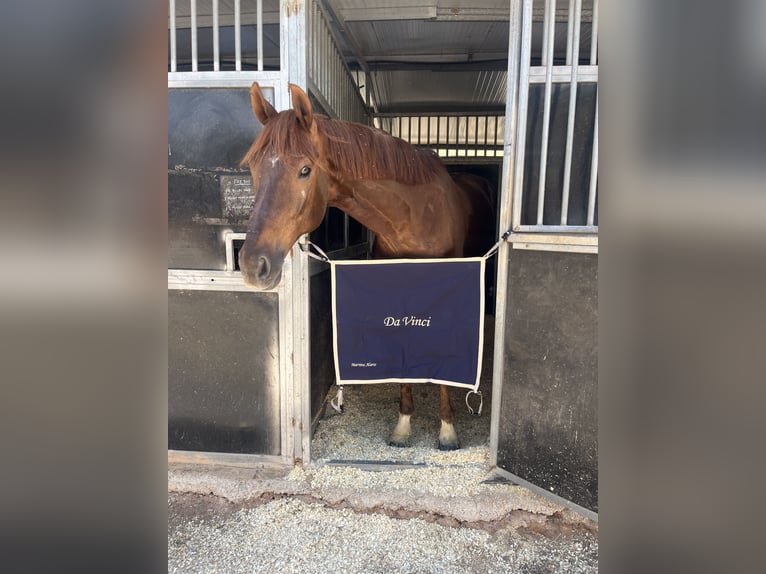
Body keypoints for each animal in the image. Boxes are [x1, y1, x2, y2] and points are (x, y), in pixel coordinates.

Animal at [239, 82, 494, 451]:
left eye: (305, 170)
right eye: (254, 169)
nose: (251, 264)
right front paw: (403, 424)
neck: (415, 216)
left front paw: (447, 429)